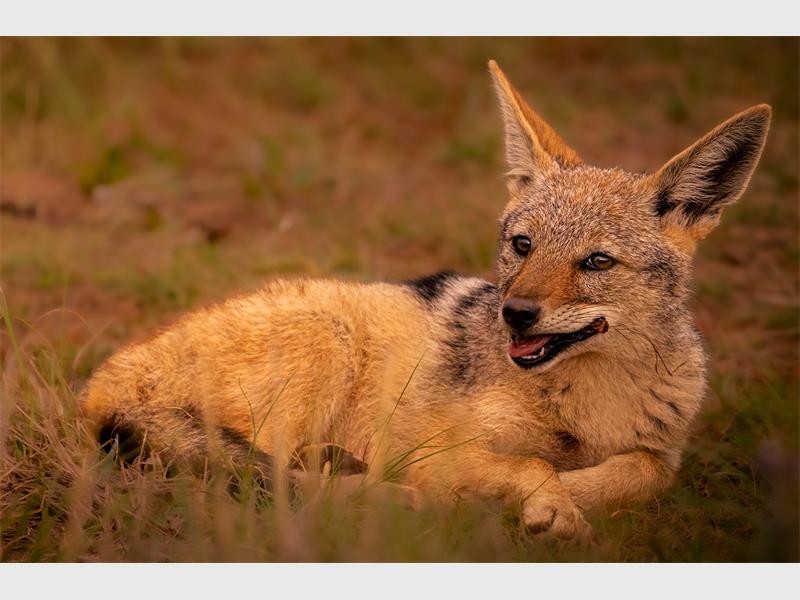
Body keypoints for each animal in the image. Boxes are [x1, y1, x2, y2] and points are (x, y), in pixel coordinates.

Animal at [82, 60, 771, 537]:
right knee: (270, 486)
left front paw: (567, 501)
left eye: (596, 262)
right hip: (326, 344)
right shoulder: (433, 449)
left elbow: (641, 473)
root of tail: (100, 381)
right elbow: (534, 468)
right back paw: (395, 500)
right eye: (523, 246)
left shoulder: (659, 454)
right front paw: (543, 506)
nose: (515, 314)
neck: (588, 404)